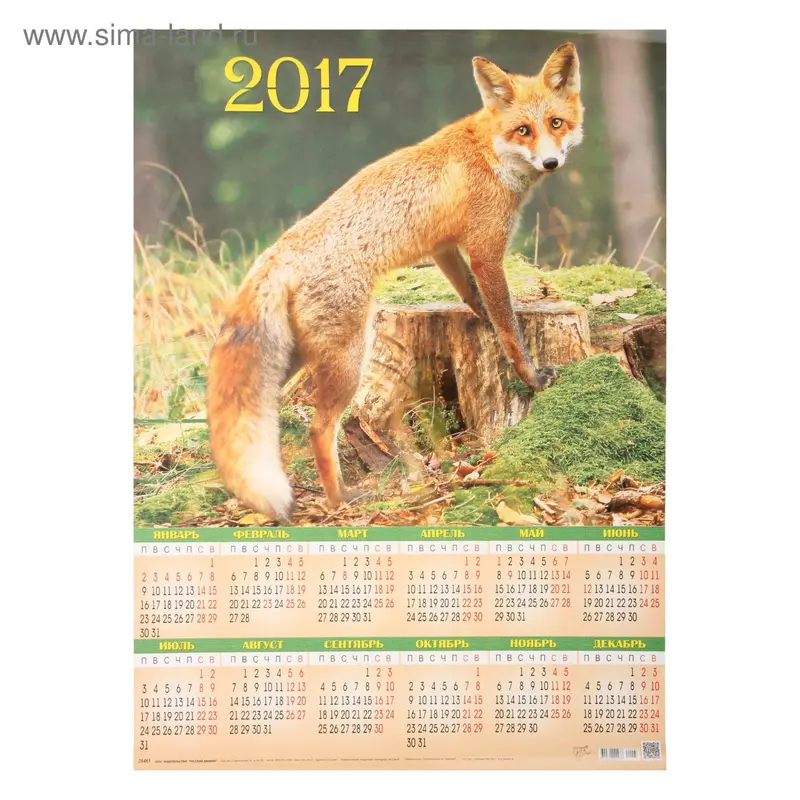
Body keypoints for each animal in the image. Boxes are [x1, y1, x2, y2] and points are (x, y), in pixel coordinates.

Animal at [207, 42, 584, 522]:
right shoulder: (485, 250)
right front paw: (532, 377)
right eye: (524, 130)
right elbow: (510, 330)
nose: (552, 162)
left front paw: (486, 322)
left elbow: (477, 300)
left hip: (294, 358)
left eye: (556, 123)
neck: (490, 151)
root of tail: (280, 251)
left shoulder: (444, 248)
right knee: (319, 428)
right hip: (350, 356)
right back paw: (340, 500)